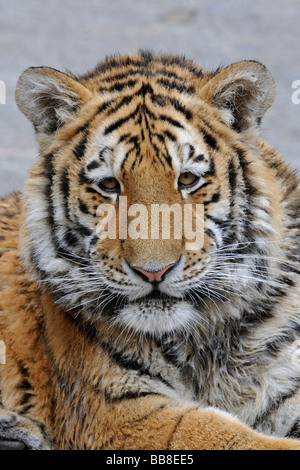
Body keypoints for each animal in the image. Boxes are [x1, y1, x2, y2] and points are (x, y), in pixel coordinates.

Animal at [0, 49, 300, 450]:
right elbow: (219, 432)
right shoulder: (120, 412)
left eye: (187, 179)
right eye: (109, 185)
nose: (153, 272)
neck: (208, 338)